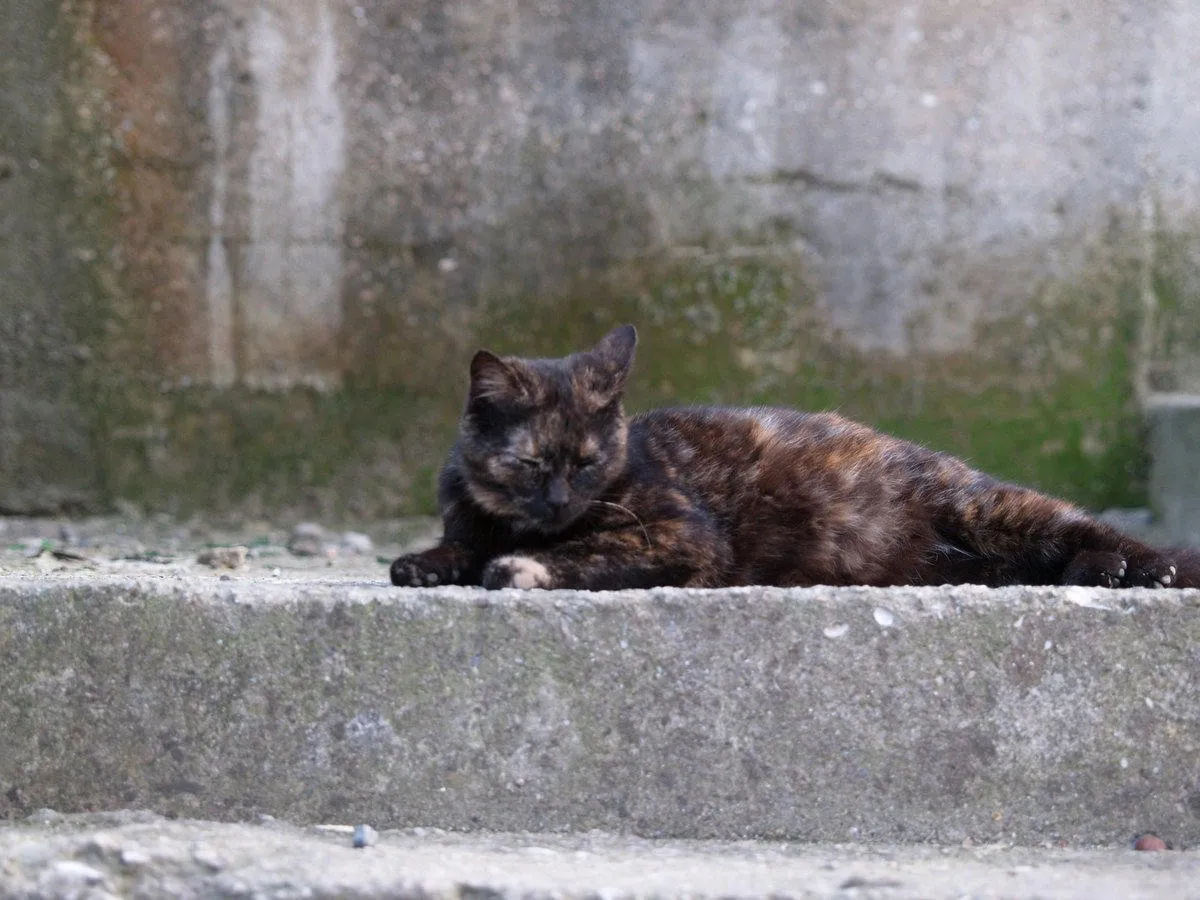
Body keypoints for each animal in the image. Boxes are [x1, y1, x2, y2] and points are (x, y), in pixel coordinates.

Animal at [391, 324, 1190, 592]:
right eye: (531, 465)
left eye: (587, 463)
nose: (559, 502)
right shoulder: (470, 517)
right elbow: (454, 544)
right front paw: (424, 563)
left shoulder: (681, 535)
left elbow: (591, 551)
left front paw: (523, 567)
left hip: (991, 506)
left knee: (1098, 532)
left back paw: (1130, 569)